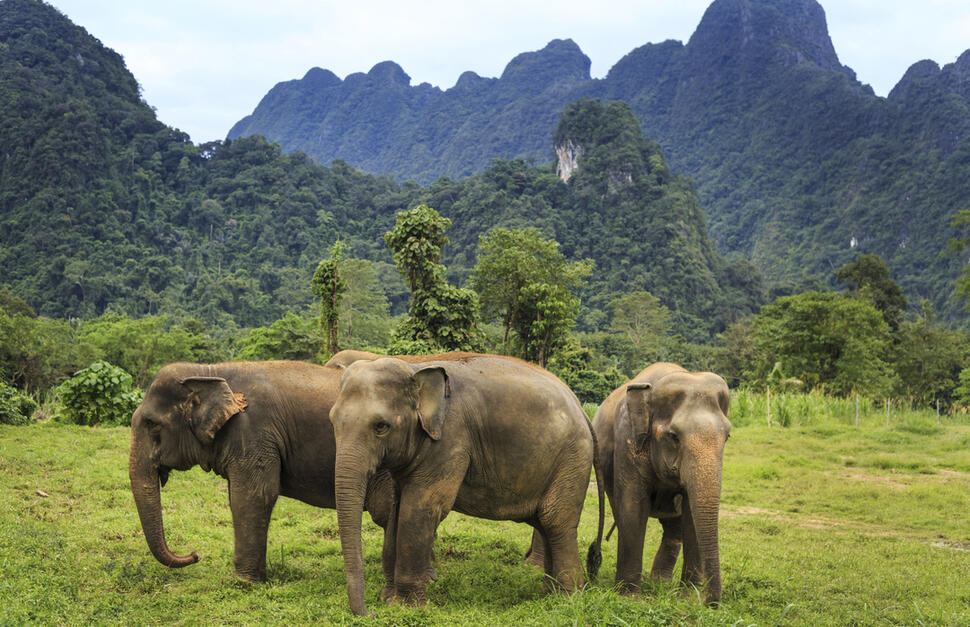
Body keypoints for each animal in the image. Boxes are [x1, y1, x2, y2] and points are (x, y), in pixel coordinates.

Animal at [129, 360, 424, 583]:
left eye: (152, 425)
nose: (195, 554)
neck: (209, 370)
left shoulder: (254, 431)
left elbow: (253, 496)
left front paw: (245, 582)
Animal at [329, 355, 605, 616]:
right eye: (332, 421)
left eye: (381, 426)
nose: (369, 613)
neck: (414, 369)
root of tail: (582, 410)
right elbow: (398, 510)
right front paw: (389, 599)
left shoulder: (450, 440)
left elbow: (421, 508)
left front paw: (405, 607)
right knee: (545, 522)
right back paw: (548, 593)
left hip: (572, 461)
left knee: (556, 522)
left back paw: (567, 597)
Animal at [592, 362, 730, 605]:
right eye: (674, 436)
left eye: (728, 437)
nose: (709, 603)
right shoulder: (627, 440)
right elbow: (632, 507)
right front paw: (630, 598)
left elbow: (691, 514)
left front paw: (687, 597)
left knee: (673, 528)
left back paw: (660, 583)